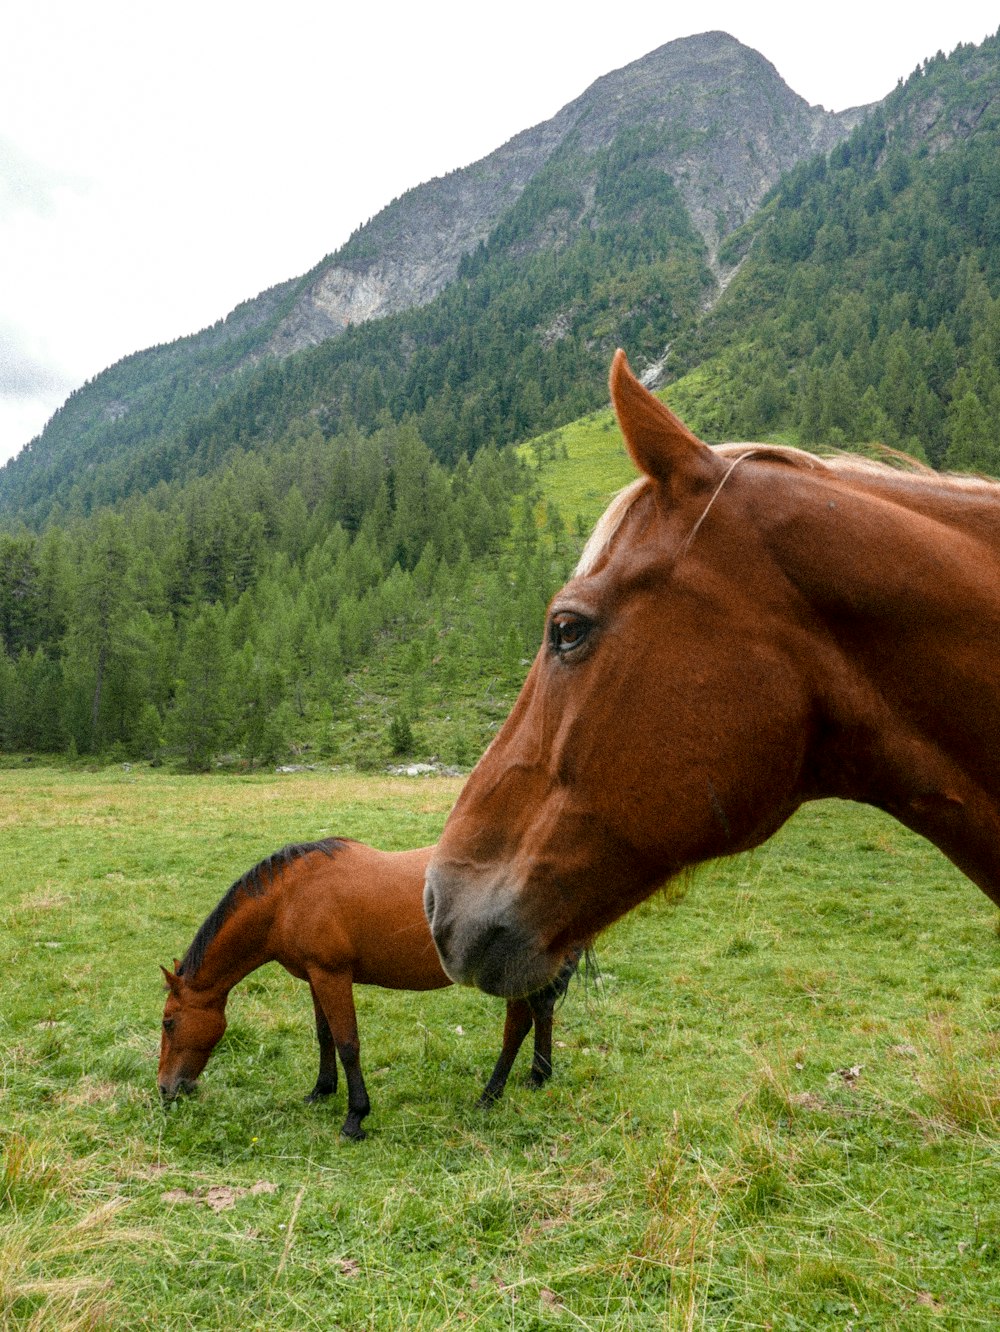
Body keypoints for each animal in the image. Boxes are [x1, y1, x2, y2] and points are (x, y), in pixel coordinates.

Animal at [156, 841, 577, 1134]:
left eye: (168, 1022)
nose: (165, 1089)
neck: (287, 899)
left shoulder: (333, 975)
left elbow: (347, 1043)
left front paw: (355, 1117)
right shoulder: (316, 975)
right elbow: (325, 1035)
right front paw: (321, 1090)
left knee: (517, 1024)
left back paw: (490, 1095)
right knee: (540, 1011)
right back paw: (538, 1076)